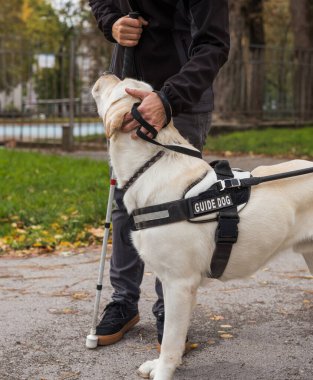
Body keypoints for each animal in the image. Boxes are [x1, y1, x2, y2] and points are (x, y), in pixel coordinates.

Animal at [92, 72, 312, 378]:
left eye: (119, 84)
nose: (106, 73)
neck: (150, 165)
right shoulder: (176, 283)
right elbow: (172, 334)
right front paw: (158, 364)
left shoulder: (179, 283)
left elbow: (170, 340)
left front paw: (163, 370)